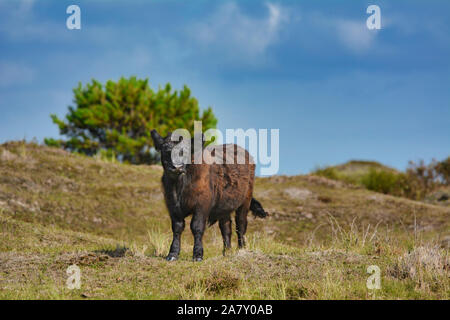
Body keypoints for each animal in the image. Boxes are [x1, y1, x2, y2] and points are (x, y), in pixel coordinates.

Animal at [151, 129, 268, 262]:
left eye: (185, 151)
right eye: (166, 151)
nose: (176, 167)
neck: (179, 186)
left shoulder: (202, 205)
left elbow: (196, 226)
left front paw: (197, 255)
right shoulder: (173, 206)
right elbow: (177, 227)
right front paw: (172, 254)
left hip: (245, 200)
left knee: (241, 224)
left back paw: (241, 249)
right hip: (224, 206)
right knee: (226, 227)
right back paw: (227, 252)